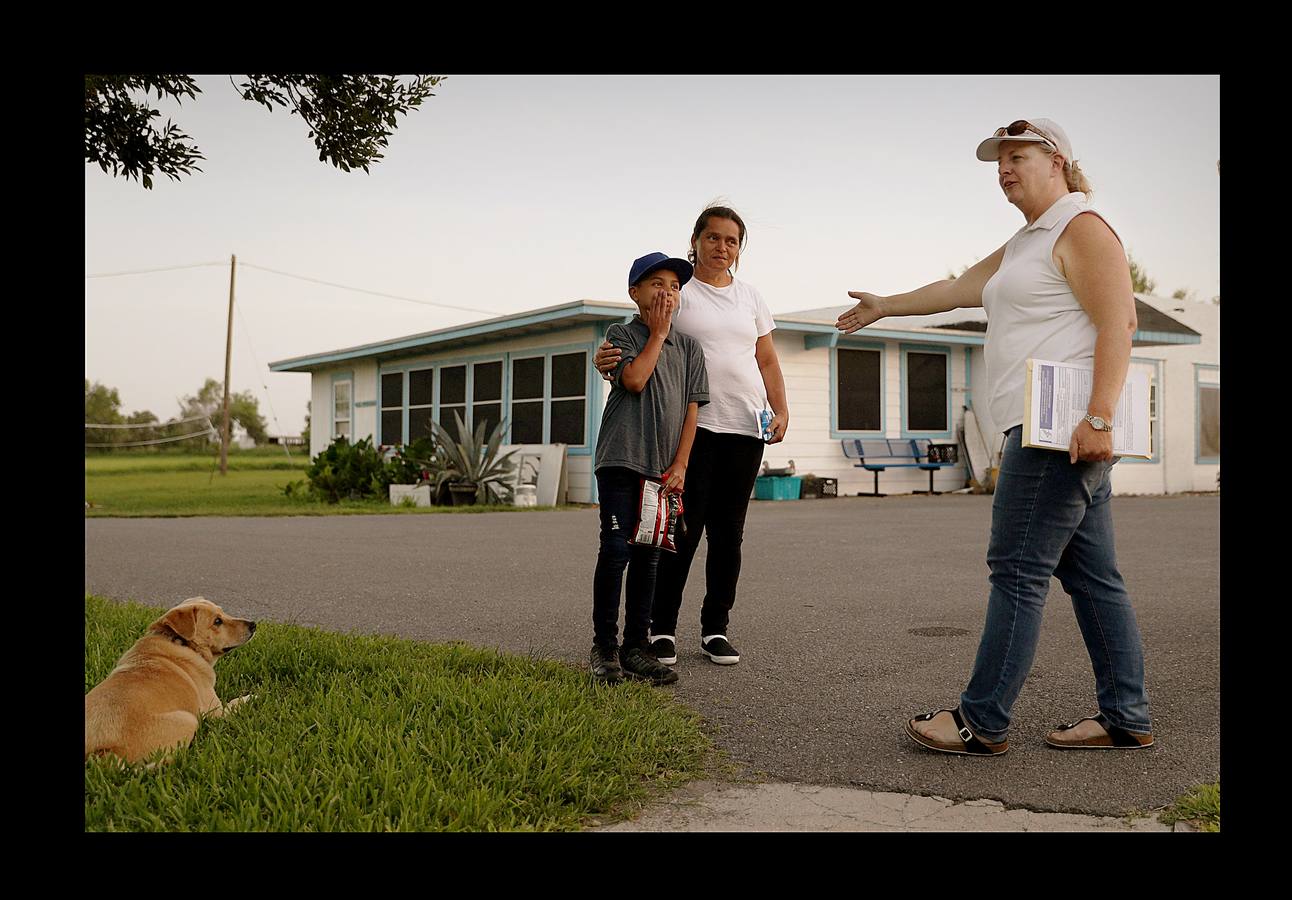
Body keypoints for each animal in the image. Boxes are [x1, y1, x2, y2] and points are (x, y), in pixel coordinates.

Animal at [86, 596, 257, 764]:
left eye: (222, 612)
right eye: (217, 621)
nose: (253, 625)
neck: (181, 643)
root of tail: (101, 753)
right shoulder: (217, 712)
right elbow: (235, 702)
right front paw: (252, 697)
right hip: (189, 720)